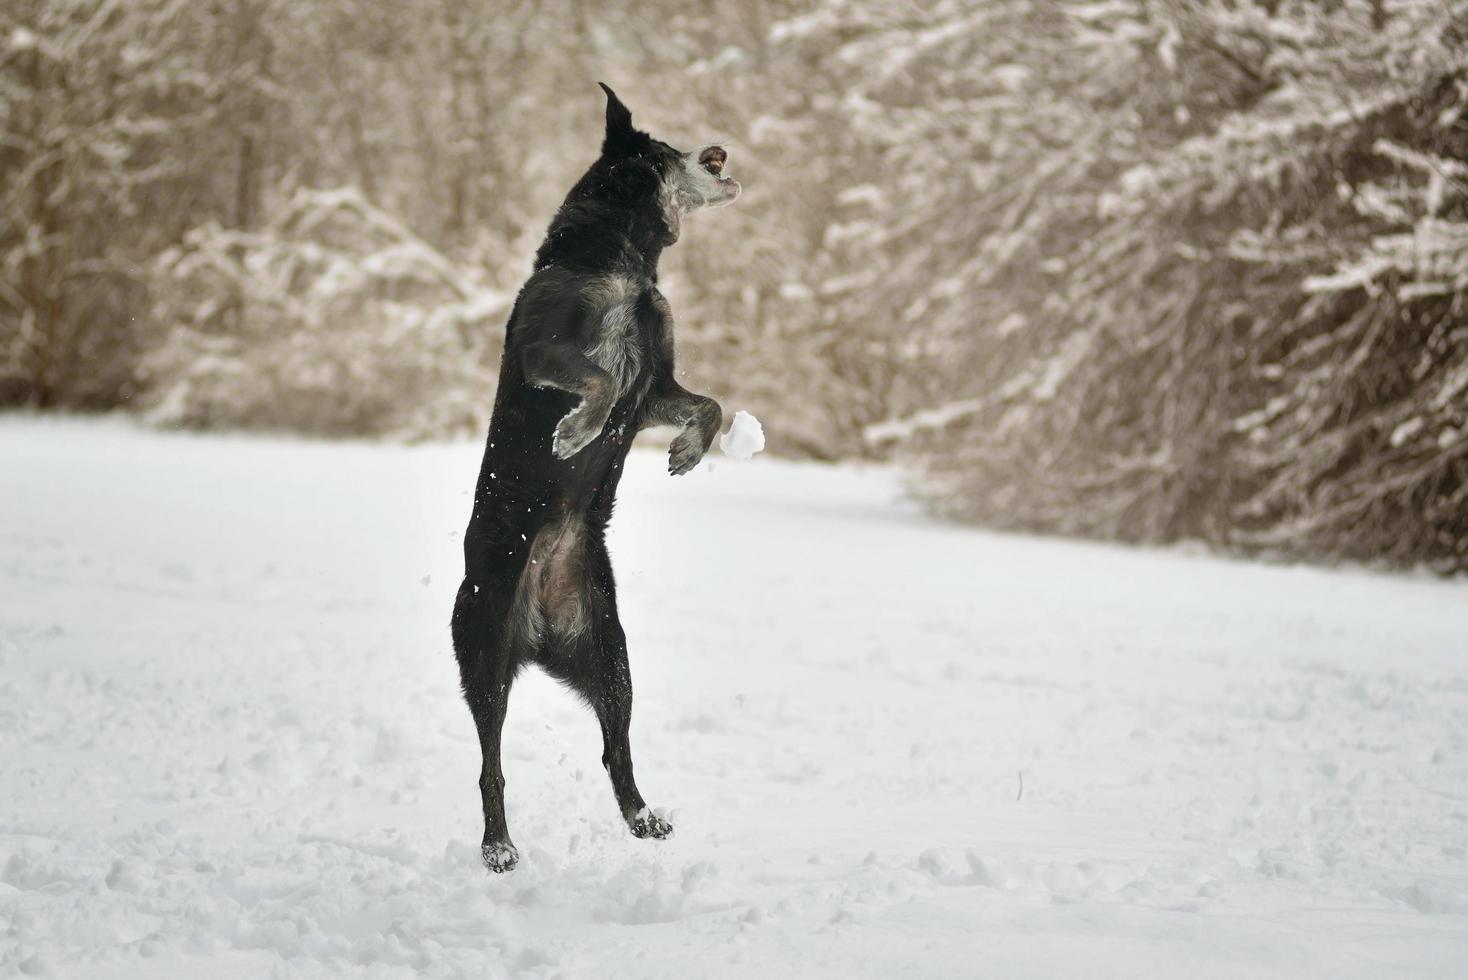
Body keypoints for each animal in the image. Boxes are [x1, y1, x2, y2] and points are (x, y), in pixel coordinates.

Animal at [446, 86, 739, 874]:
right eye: (667, 147)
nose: (720, 149)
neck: (623, 255)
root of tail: (541, 627)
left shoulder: (658, 383)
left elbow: (709, 404)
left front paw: (687, 453)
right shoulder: (549, 348)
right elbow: (601, 380)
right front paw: (575, 432)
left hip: (611, 654)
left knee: (615, 747)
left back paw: (642, 817)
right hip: (482, 646)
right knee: (489, 762)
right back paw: (498, 845)